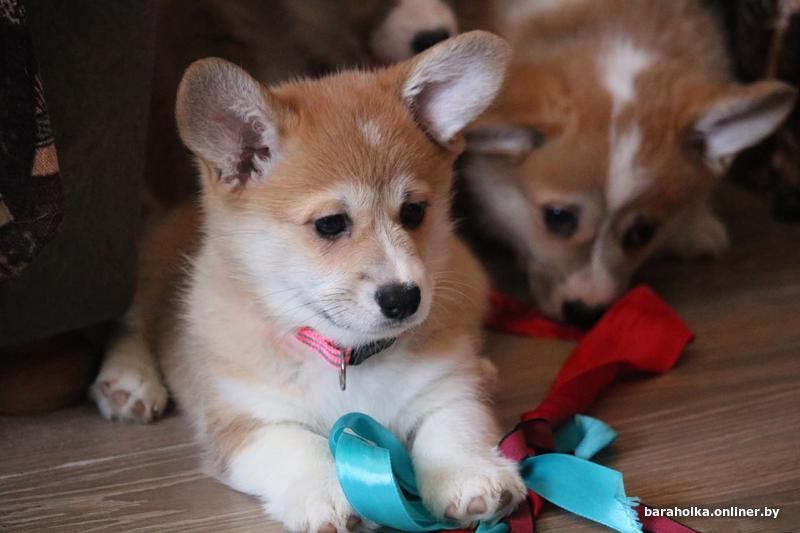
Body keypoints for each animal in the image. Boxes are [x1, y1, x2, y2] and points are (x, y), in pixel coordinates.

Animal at [91, 32, 526, 532]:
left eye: (414, 212)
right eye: (331, 224)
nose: (404, 299)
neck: (347, 354)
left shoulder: (448, 390)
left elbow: (454, 428)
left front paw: (473, 475)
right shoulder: (250, 422)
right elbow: (300, 448)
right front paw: (329, 495)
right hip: (142, 279)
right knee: (126, 326)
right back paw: (128, 382)